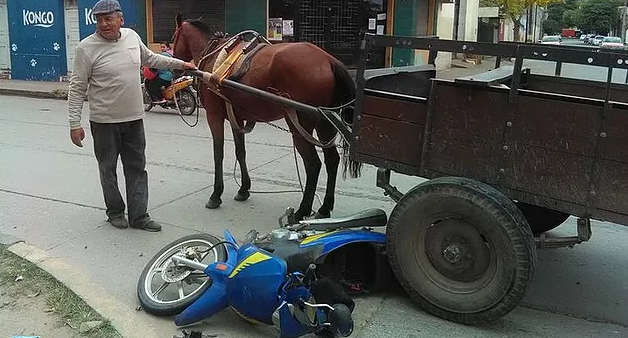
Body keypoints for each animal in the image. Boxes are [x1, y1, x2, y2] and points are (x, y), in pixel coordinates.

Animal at [169, 14, 360, 220]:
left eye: (174, 38)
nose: (175, 70)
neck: (212, 55)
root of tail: (328, 60)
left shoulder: (214, 116)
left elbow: (218, 154)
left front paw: (216, 194)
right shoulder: (237, 118)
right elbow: (240, 151)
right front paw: (244, 189)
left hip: (300, 124)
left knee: (313, 164)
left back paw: (302, 210)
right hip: (326, 122)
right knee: (331, 160)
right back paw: (324, 208)